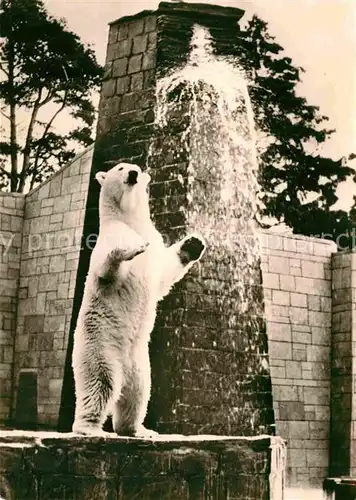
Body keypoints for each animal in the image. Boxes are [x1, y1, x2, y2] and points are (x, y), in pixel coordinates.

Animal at [71, 162, 206, 436]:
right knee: (101, 384)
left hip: (140, 363)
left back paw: (136, 429)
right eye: (121, 167)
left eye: (137, 169)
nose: (133, 173)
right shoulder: (107, 240)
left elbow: (163, 276)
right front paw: (129, 249)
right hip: (99, 347)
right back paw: (88, 428)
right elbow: (106, 271)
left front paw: (193, 244)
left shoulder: (155, 245)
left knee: (138, 393)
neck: (130, 220)